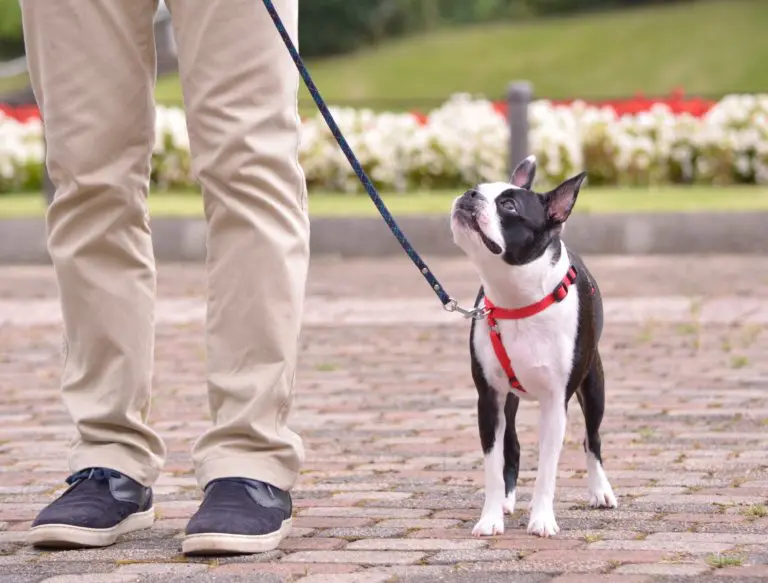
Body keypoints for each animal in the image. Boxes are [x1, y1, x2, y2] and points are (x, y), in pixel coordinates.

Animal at [450, 154, 616, 540]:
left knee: (592, 438)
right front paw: (490, 518)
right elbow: (492, 465)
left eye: (509, 206)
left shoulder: (555, 403)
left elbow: (547, 471)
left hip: (594, 385)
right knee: (511, 446)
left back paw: (600, 490)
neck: (515, 297)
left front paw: (542, 519)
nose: (469, 194)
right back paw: (507, 501)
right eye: (478, 188)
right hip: (509, 399)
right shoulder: (489, 398)